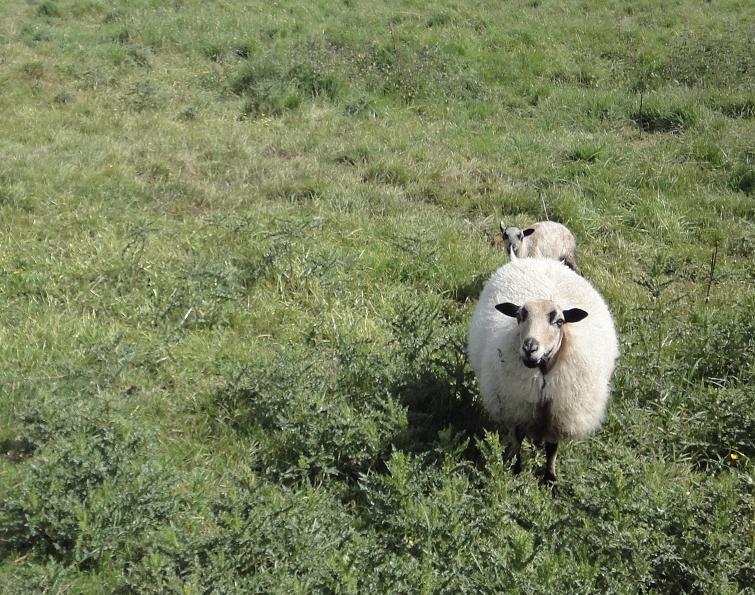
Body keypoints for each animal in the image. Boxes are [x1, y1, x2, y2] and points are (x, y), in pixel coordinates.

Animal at [467, 257, 618, 483]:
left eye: (559, 321)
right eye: (519, 316)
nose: (530, 347)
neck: (544, 374)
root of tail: (538, 259)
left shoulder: (559, 412)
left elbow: (552, 448)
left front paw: (550, 478)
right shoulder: (517, 406)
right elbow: (517, 439)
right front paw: (515, 468)